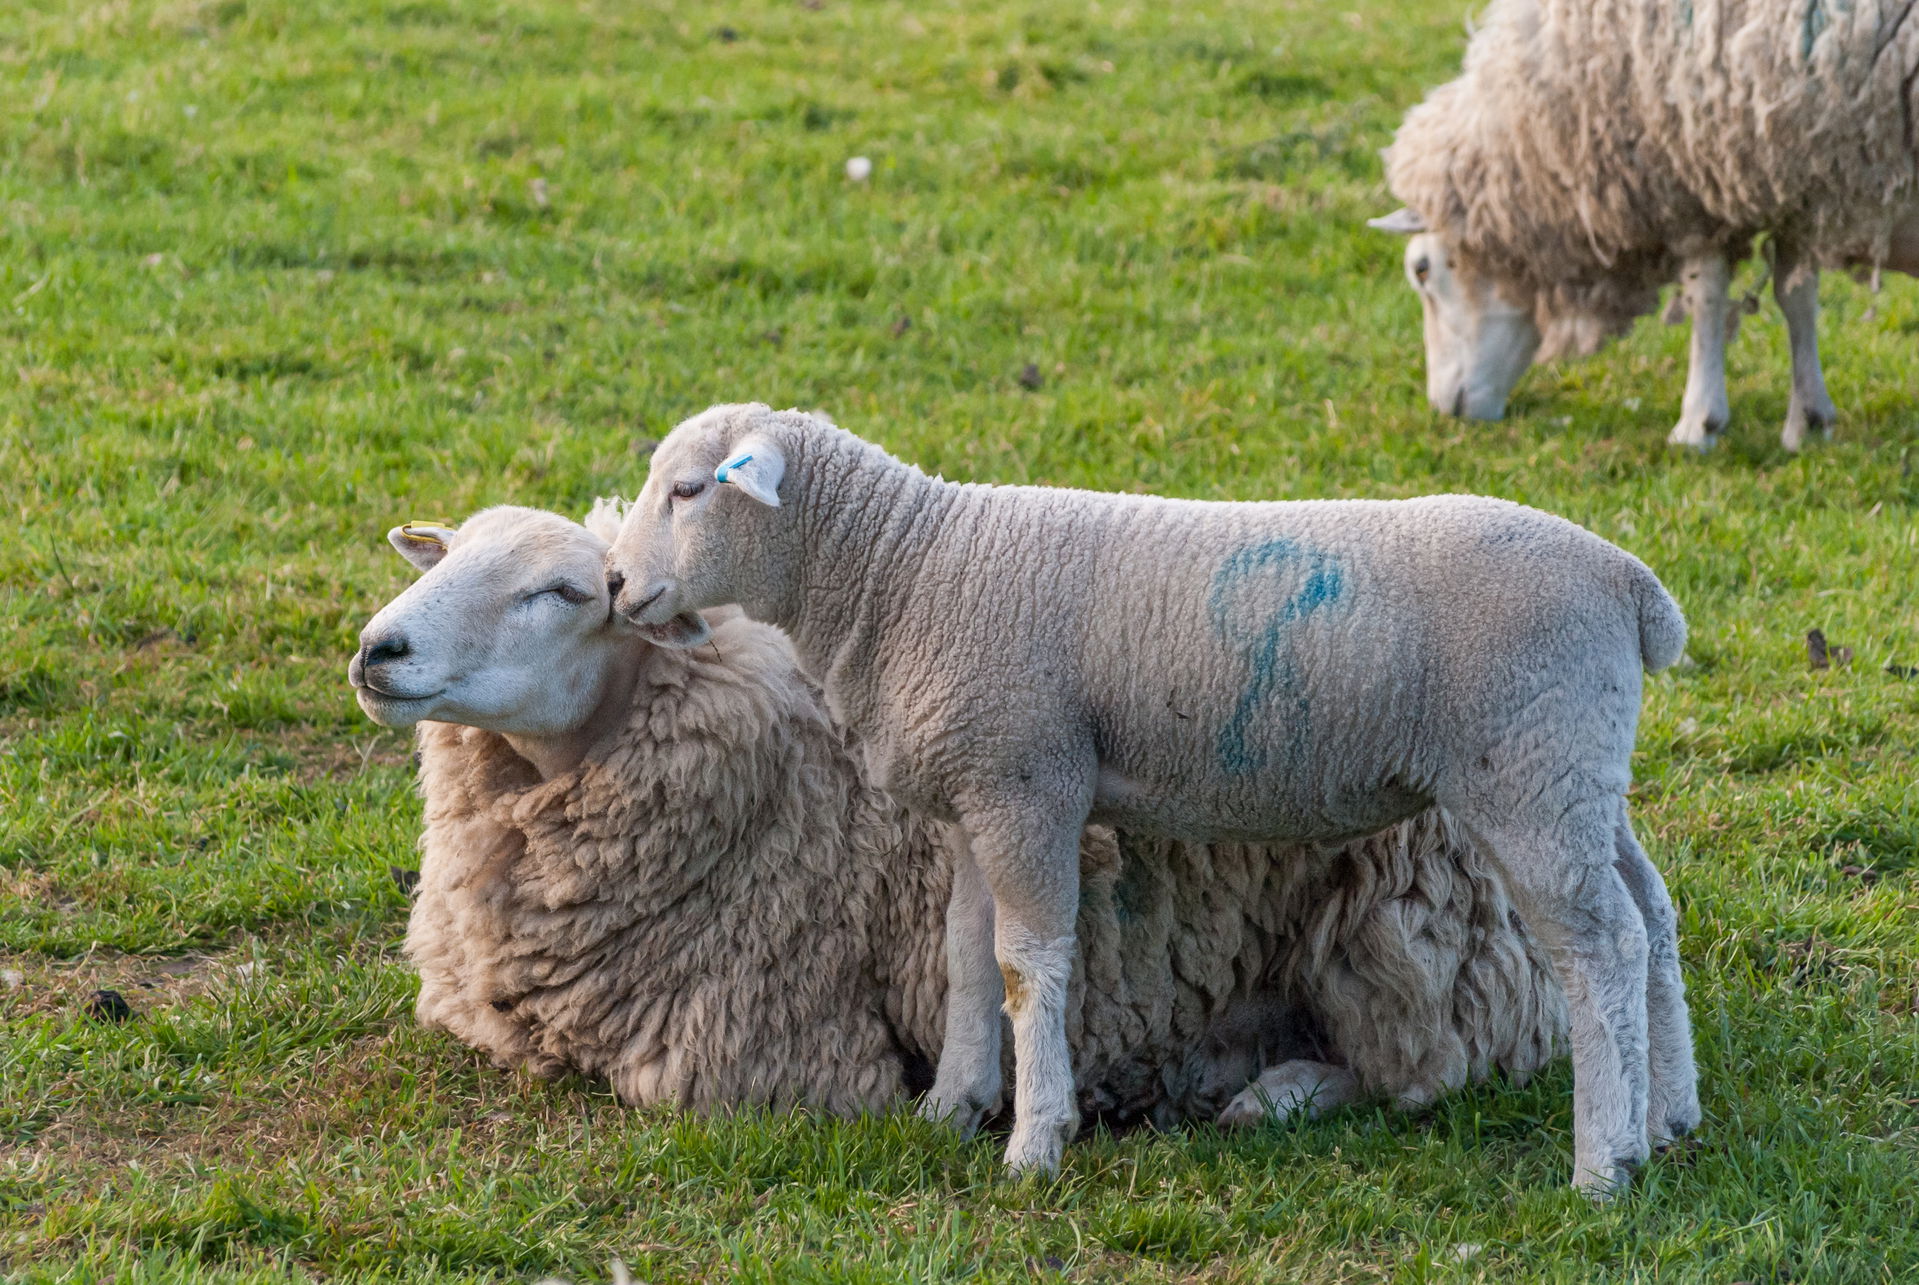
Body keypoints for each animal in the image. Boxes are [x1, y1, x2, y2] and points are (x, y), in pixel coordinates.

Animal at [350, 503, 1566, 1135]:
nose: (378, 648)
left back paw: (1274, 1093)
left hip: (1404, 932)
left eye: (562, 592)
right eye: (448, 554)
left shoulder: (783, 1057)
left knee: (1428, 1067)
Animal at [604, 403, 1699, 1195]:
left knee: (1598, 947)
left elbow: (1028, 966)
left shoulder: (1027, 782)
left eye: (689, 490)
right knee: (1649, 916)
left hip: (1526, 775)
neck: (903, 572)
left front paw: (1033, 1143)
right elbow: (964, 960)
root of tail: (1629, 584)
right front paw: (951, 1106)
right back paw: (1668, 1118)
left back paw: (1602, 1164)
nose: (614, 583)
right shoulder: (971, 798)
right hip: (1580, 772)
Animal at [1368, 0, 1919, 450]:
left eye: (1422, 270)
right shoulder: (1791, 178)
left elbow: (1706, 296)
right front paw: (1809, 417)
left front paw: (1698, 422)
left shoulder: (1694, 180)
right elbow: (1795, 294)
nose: (1445, 408)